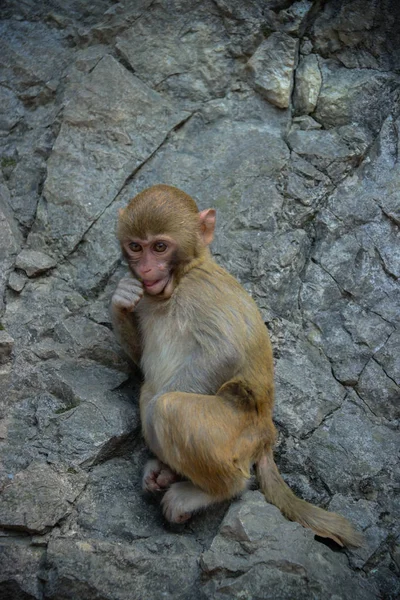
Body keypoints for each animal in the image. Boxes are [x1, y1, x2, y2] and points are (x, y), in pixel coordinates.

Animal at [110, 184, 362, 548]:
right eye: (135, 246)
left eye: (159, 247)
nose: (144, 270)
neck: (178, 282)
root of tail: (266, 434)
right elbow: (139, 349)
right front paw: (120, 298)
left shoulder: (202, 290)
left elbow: (224, 353)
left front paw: (160, 454)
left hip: (236, 431)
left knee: (169, 407)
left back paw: (210, 490)